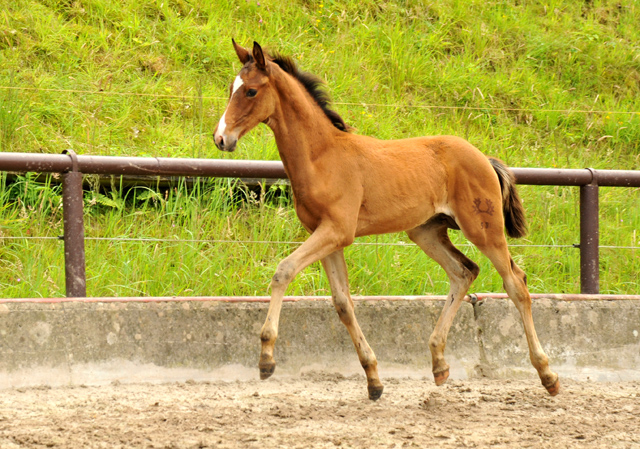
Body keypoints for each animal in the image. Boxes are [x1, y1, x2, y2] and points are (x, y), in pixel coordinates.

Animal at [212, 40, 556, 400]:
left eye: (250, 91)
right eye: (231, 88)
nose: (221, 138)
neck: (321, 156)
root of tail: (485, 159)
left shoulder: (337, 231)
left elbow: (284, 270)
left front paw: (266, 359)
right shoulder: (327, 236)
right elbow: (342, 303)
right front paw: (373, 379)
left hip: (483, 228)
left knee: (516, 283)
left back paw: (547, 374)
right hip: (426, 232)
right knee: (464, 272)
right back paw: (439, 364)